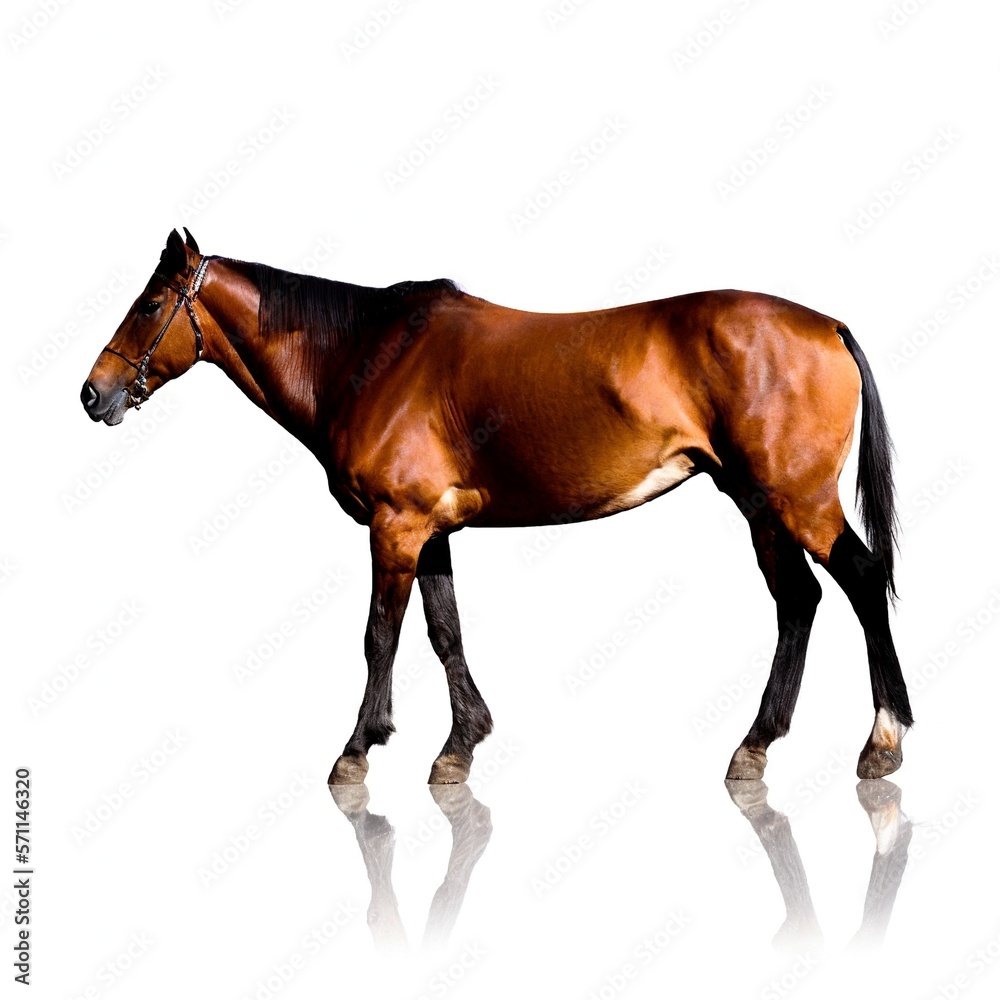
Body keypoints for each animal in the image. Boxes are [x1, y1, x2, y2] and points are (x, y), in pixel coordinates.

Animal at [81, 229, 913, 786]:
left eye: (149, 303)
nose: (94, 393)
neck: (366, 356)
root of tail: (827, 325)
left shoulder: (396, 526)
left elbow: (380, 636)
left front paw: (356, 751)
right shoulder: (430, 529)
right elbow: (444, 632)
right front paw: (460, 747)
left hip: (795, 499)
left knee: (861, 579)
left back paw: (882, 742)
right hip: (759, 502)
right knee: (799, 601)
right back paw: (757, 745)